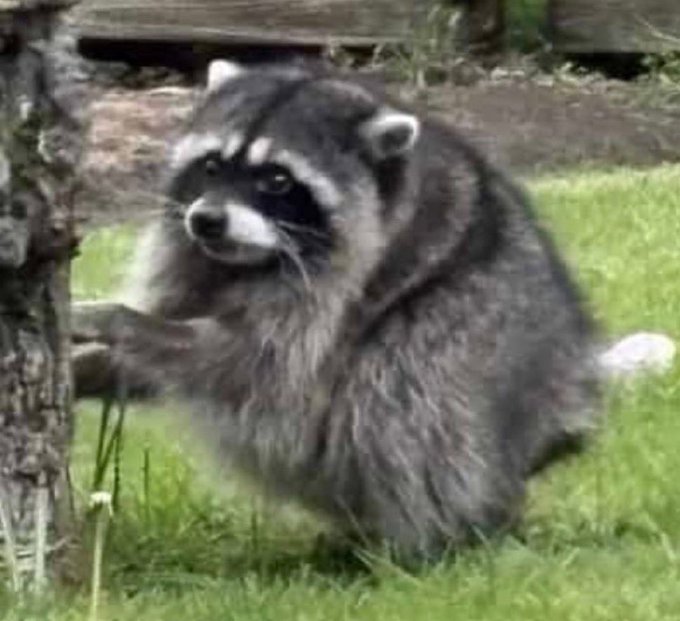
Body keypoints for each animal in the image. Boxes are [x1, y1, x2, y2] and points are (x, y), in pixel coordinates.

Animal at [75, 59, 601, 560]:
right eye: (211, 166)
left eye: (277, 180)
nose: (206, 220)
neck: (249, 262)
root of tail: (561, 416)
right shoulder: (193, 261)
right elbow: (162, 354)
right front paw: (93, 366)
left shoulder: (337, 292)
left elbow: (248, 366)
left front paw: (120, 320)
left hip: (476, 344)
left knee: (402, 387)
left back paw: (425, 540)